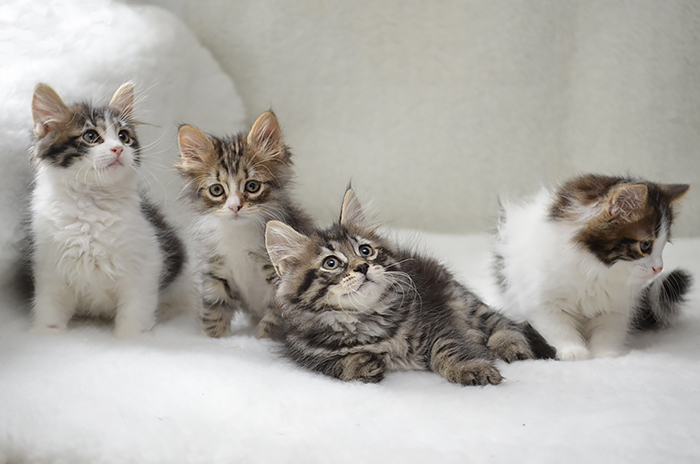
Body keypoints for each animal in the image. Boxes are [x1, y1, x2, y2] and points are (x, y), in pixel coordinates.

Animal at [28, 82, 185, 337]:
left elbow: (136, 308)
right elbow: (49, 304)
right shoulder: (50, 266)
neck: (93, 203)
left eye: (124, 136)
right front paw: (47, 332)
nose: (118, 149)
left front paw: (131, 337)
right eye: (91, 136)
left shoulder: (147, 261)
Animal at [176, 112, 314, 338]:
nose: (235, 207)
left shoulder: (280, 279)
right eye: (216, 190)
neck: (238, 235)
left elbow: (273, 319)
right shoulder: (216, 271)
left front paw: (262, 340)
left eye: (252, 186)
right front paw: (214, 339)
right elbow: (214, 310)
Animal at [264, 189, 555, 385]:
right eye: (331, 263)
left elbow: (450, 348)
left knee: (503, 323)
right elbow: (333, 365)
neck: (366, 321)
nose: (362, 267)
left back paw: (508, 344)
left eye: (365, 251)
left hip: (461, 298)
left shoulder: (436, 320)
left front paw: (472, 367)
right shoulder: (305, 352)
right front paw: (358, 364)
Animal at [493, 174, 692, 361]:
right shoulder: (544, 302)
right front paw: (573, 351)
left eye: (663, 246)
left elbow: (608, 331)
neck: (597, 268)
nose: (659, 268)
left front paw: (606, 354)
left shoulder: (614, 305)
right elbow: (559, 328)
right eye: (645, 246)